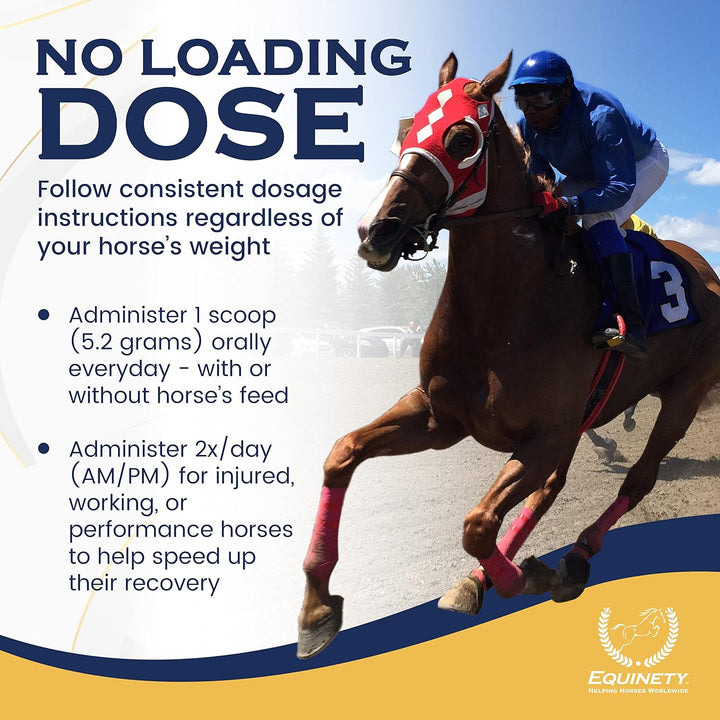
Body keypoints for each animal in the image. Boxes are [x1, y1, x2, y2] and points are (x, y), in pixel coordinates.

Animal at [297, 51, 720, 659]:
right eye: (405, 130)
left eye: (460, 136)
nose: (376, 230)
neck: (506, 309)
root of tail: (705, 272)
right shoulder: (441, 416)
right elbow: (342, 451)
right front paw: (316, 607)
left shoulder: (544, 434)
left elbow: (476, 524)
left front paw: (530, 576)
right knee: (549, 490)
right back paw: (490, 576)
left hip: (683, 396)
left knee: (637, 481)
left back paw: (574, 557)